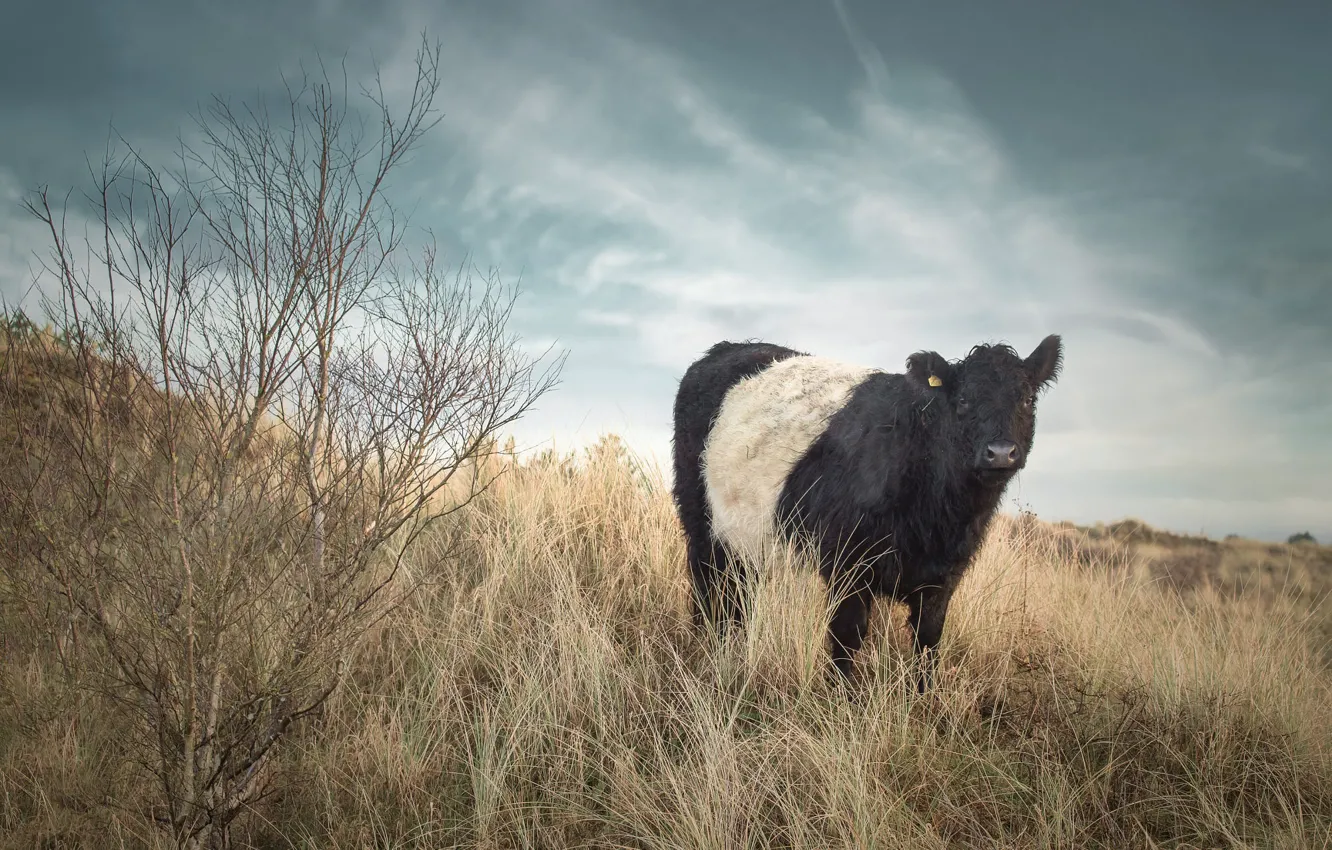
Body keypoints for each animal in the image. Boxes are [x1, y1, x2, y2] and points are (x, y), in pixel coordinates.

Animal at [671, 335, 1063, 690]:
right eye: (963, 399)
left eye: (1027, 399)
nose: (1000, 452)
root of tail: (726, 348)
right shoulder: (848, 562)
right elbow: (848, 633)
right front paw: (841, 699)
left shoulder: (945, 573)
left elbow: (928, 639)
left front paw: (924, 700)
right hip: (701, 520)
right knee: (709, 585)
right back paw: (705, 646)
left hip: (749, 537)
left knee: (740, 595)